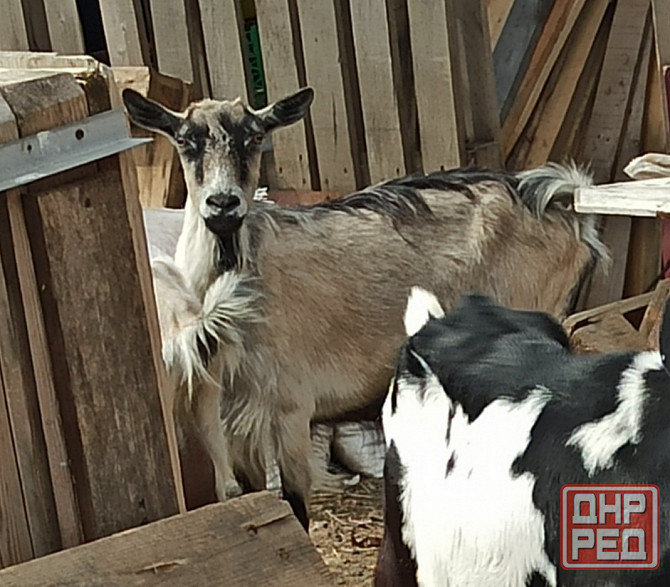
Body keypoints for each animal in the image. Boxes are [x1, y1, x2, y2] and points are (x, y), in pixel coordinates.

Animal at [123, 88, 608, 531]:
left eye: (255, 136)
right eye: (186, 139)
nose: (223, 205)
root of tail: (566, 208)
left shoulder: (289, 409)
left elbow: (295, 506)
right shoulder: (230, 419)